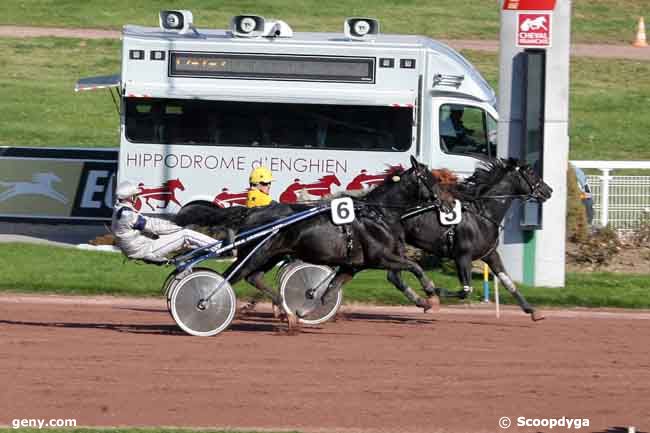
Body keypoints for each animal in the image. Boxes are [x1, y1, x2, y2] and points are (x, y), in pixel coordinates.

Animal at [180, 156, 442, 328]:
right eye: (431, 179)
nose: (443, 202)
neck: (377, 214)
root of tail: (250, 213)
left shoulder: (352, 266)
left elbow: (328, 292)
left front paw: (303, 311)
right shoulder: (381, 257)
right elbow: (415, 266)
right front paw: (431, 293)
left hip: (269, 255)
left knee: (253, 277)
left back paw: (285, 310)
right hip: (256, 253)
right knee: (229, 277)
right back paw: (202, 303)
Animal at [394, 157, 552, 318]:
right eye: (531, 172)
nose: (548, 190)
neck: (483, 215)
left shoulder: (490, 254)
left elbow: (508, 282)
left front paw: (532, 310)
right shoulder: (462, 256)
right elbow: (466, 290)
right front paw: (436, 291)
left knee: (395, 276)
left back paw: (420, 301)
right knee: (396, 276)